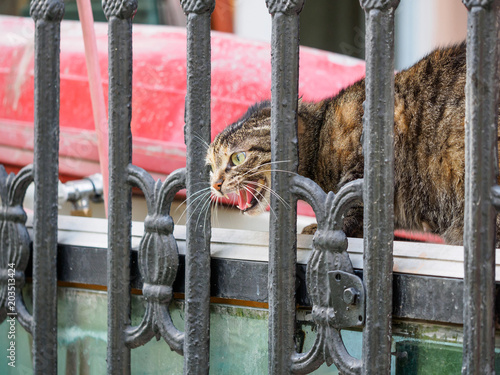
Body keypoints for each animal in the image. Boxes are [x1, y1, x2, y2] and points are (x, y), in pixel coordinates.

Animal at [205, 41, 498, 247]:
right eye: (211, 167)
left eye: (237, 158)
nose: (215, 184)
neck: (321, 134)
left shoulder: (366, 162)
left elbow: (351, 205)